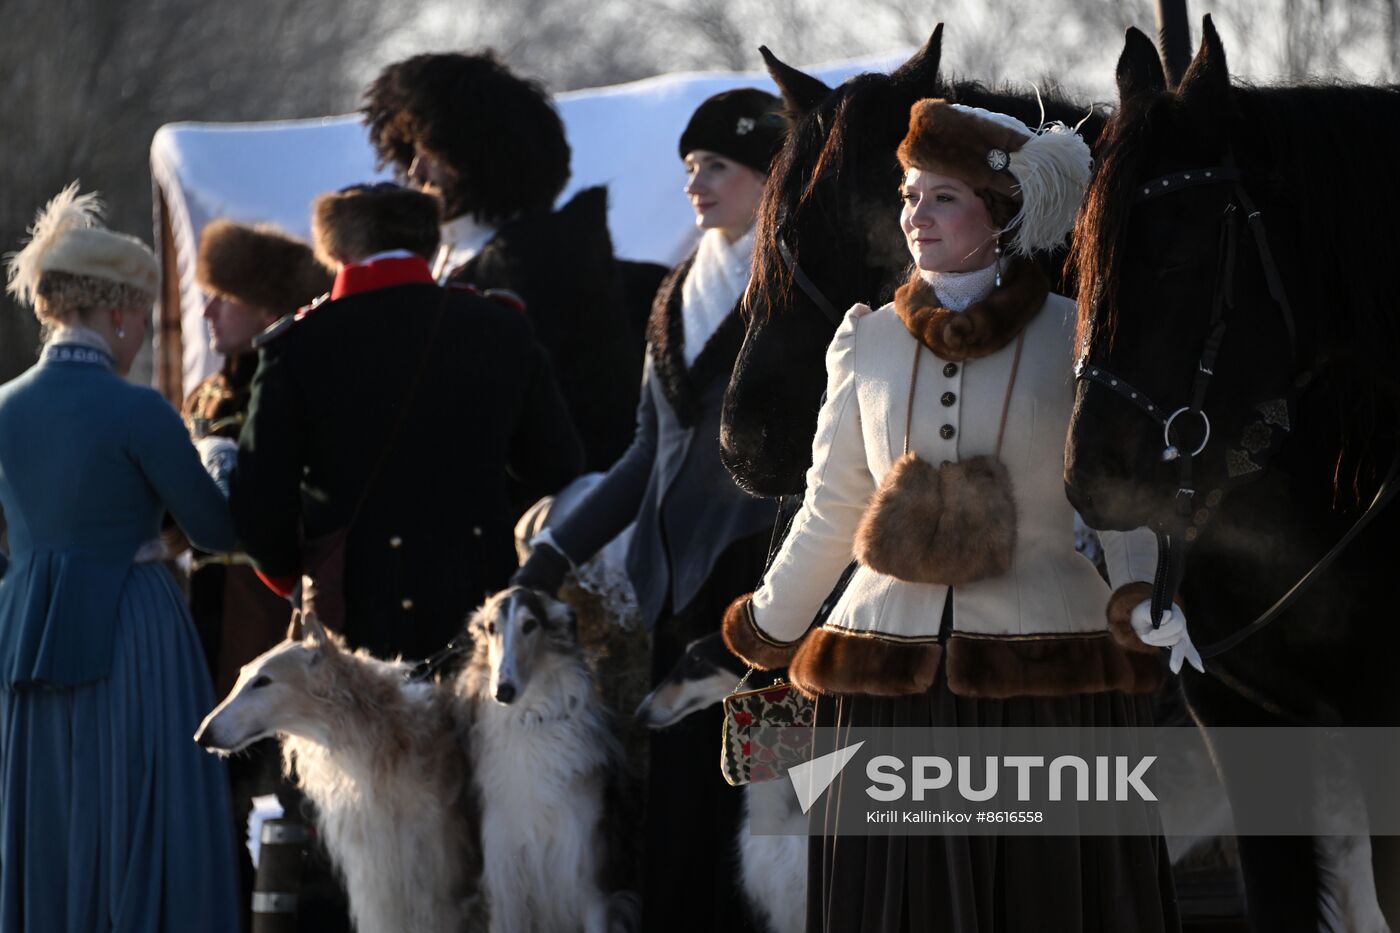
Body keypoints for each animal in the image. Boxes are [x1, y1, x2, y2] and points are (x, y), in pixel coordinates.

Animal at [459, 585, 635, 930]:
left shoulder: (588, 877)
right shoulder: (503, 880)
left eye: (530, 625)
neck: (529, 720)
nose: (503, 692)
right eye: (491, 627)